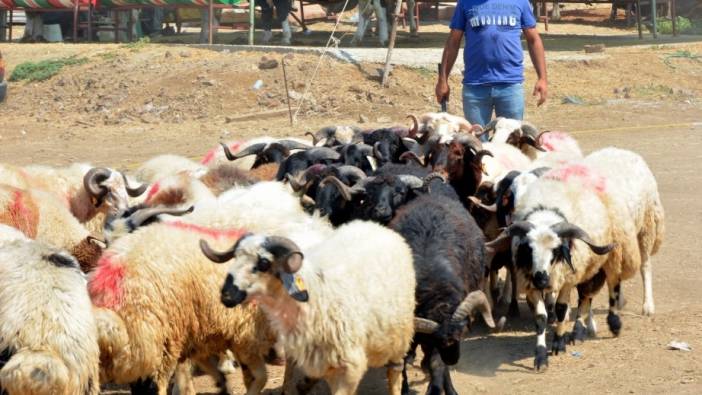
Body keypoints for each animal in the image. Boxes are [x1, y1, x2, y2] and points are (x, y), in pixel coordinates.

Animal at [199, 221, 418, 395]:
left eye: (263, 263)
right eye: (235, 257)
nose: (226, 295)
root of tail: (377, 226)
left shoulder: (349, 368)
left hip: (400, 335)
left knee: (395, 371)